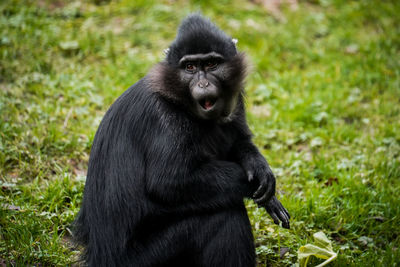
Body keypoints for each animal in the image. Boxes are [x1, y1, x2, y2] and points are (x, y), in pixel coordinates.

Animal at [73, 14, 290, 267]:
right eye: (190, 67)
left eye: (211, 64)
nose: (203, 84)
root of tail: (99, 254)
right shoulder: (164, 117)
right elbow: (169, 181)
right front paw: (260, 189)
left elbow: (239, 141)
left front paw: (258, 166)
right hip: (144, 258)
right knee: (224, 214)